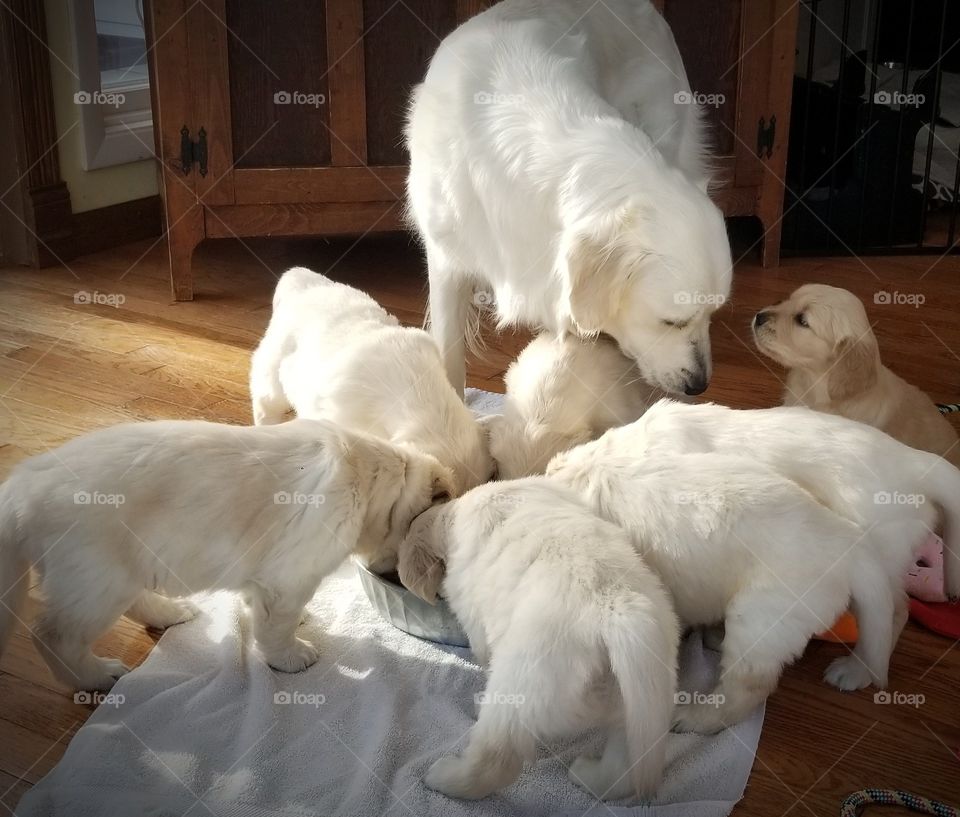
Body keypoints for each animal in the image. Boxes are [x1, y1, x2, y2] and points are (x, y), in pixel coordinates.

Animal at [0, 418, 452, 692]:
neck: (370, 474)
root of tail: (18, 489)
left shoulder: (266, 578)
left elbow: (261, 608)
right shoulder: (289, 579)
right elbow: (275, 628)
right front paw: (292, 657)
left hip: (119, 572)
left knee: (135, 602)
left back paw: (170, 612)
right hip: (97, 579)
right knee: (53, 637)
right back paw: (96, 677)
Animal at [396, 478, 676, 804]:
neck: (451, 515)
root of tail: (615, 611)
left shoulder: (473, 615)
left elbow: (482, 649)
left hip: (521, 683)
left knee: (495, 760)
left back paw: (445, 776)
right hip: (640, 705)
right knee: (624, 766)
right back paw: (589, 776)